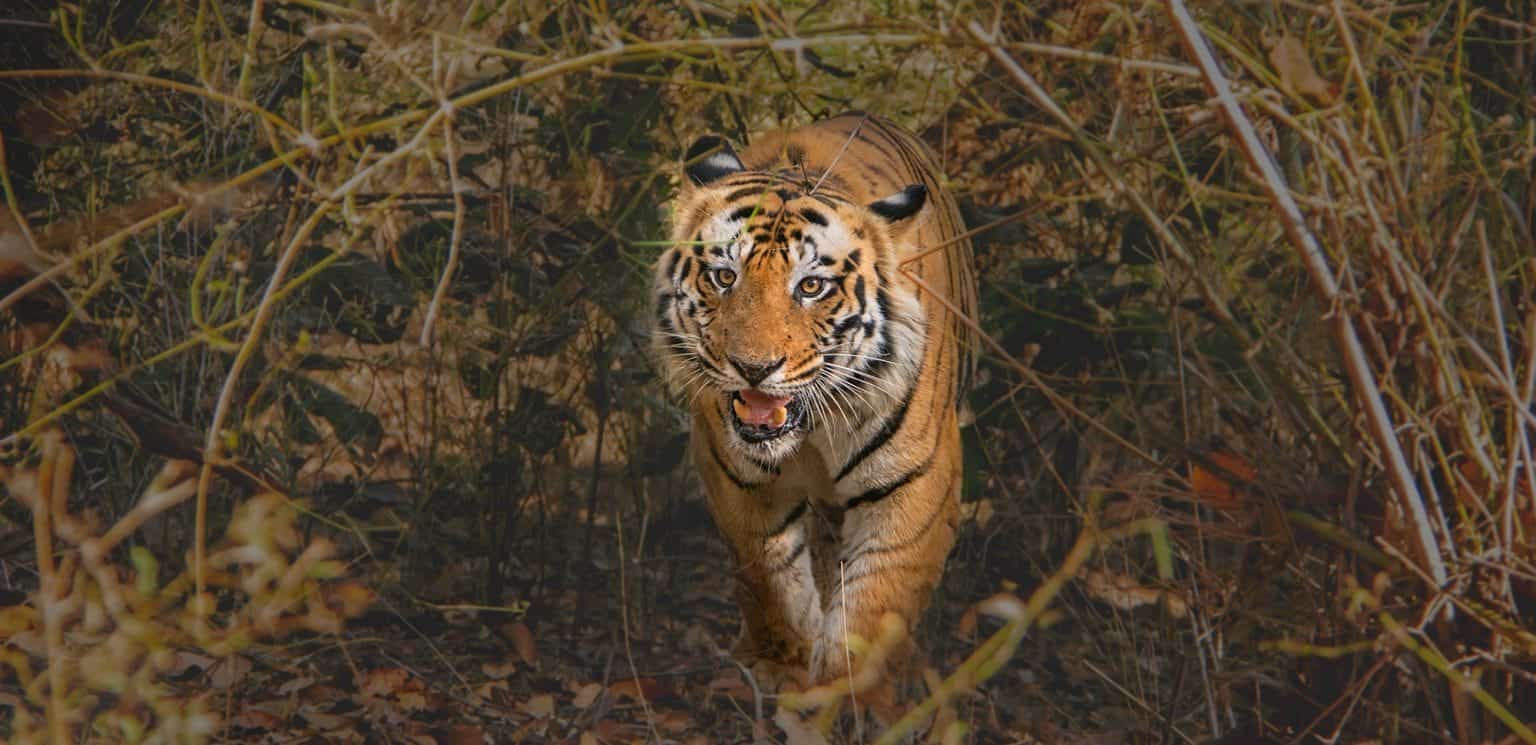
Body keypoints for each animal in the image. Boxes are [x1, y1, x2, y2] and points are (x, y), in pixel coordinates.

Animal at [651, 112, 978, 695]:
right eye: (724, 276)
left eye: (811, 287)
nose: (754, 367)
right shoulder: (735, 477)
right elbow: (768, 578)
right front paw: (783, 668)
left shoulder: (915, 483)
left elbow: (874, 608)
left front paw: (844, 695)